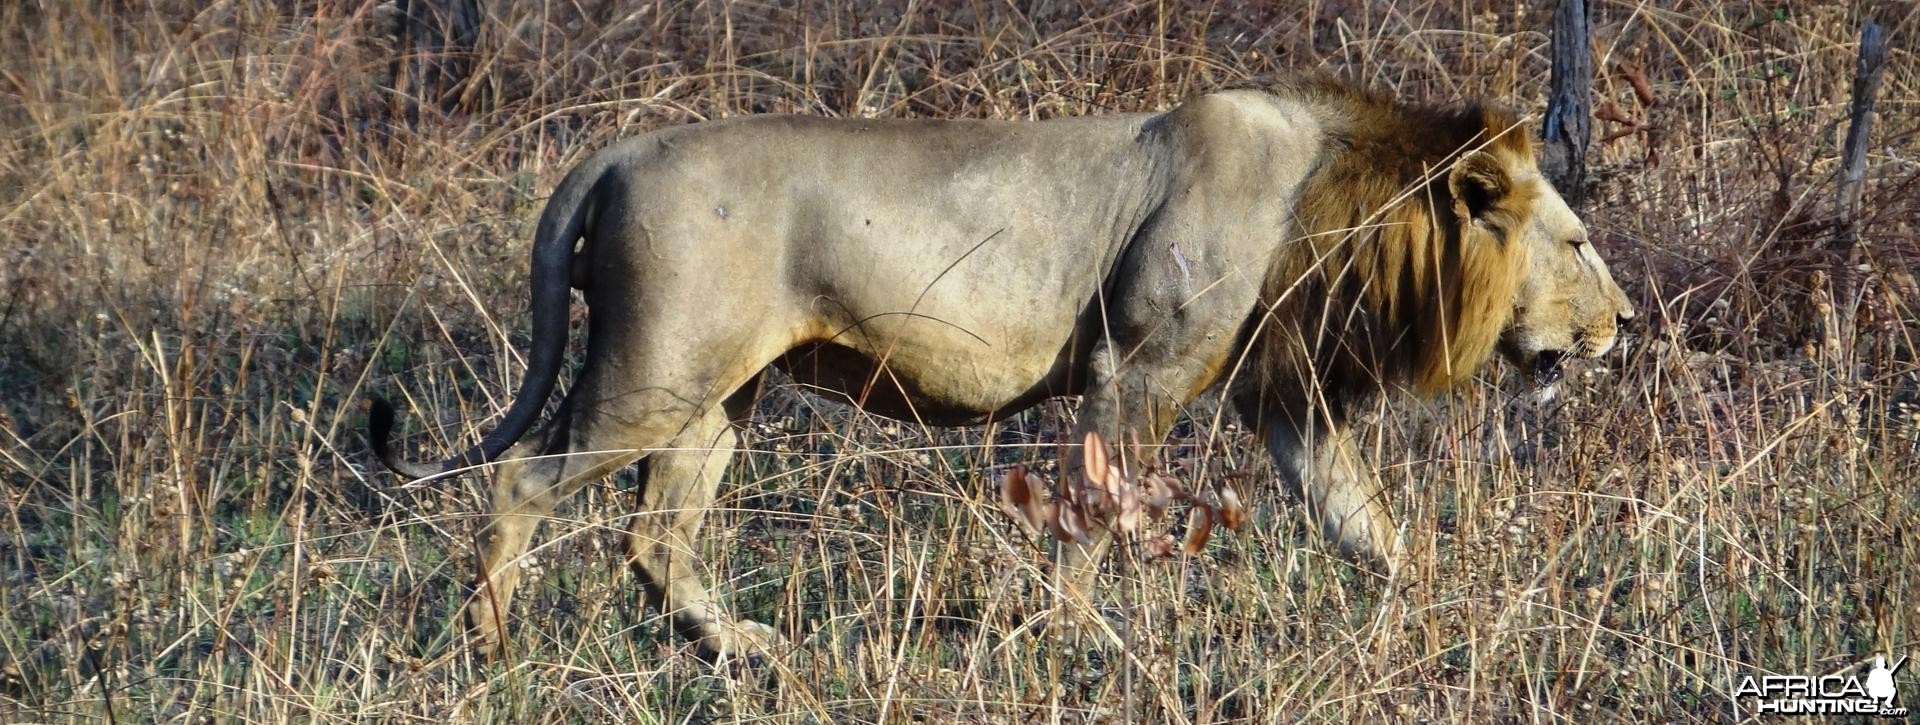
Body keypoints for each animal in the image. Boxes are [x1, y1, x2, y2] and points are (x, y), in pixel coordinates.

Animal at [370, 76, 1635, 659]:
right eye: (1577, 242)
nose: (1625, 322)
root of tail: (621, 148)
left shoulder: (1284, 397)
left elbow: (1365, 523)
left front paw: (1444, 613)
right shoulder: (1136, 371)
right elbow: (1094, 510)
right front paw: (1086, 640)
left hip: (715, 396)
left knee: (653, 532)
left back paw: (739, 648)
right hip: (655, 372)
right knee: (520, 483)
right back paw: (489, 646)